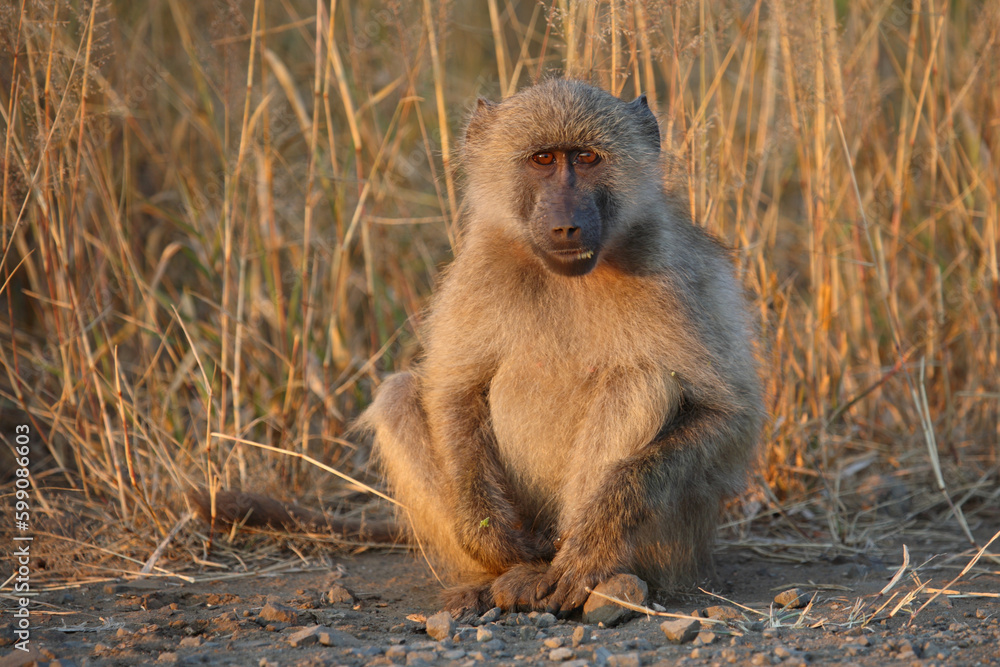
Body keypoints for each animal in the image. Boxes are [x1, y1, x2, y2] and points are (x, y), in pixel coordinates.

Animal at [357, 79, 765, 619]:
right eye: (543, 159)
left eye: (587, 158)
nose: (568, 224)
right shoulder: (477, 271)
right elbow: (452, 392)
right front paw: (489, 538)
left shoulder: (679, 275)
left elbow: (727, 415)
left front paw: (592, 545)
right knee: (400, 393)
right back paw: (494, 578)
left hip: (673, 545)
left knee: (638, 379)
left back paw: (585, 574)